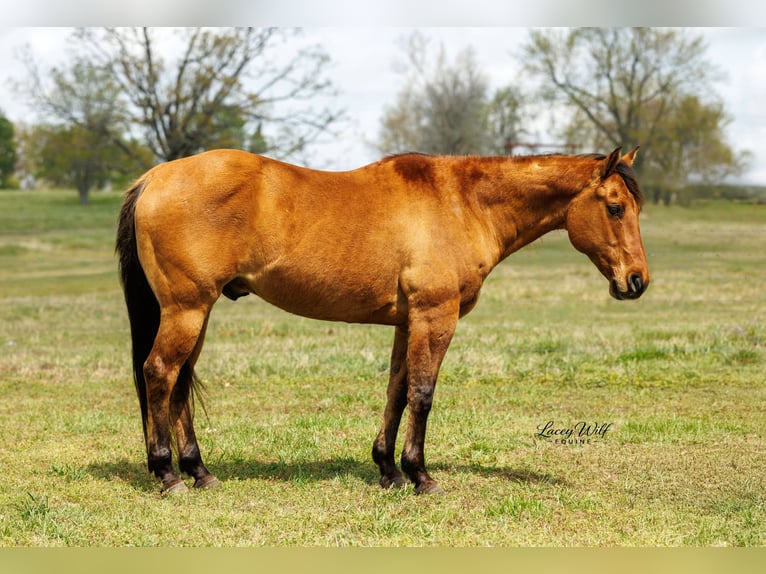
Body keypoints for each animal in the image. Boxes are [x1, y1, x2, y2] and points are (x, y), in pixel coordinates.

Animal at [116, 146, 649, 495]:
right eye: (615, 207)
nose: (637, 281)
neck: (463, 203)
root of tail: (155, 177)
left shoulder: (406, 323)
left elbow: (396, 390)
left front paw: (388, 471)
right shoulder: (436, 317)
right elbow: (422, 394)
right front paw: (420, 476)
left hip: (196, 313)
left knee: (179, 382)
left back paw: (199, 472)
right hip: (187, 309)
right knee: (160, 373)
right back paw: (168, 474)